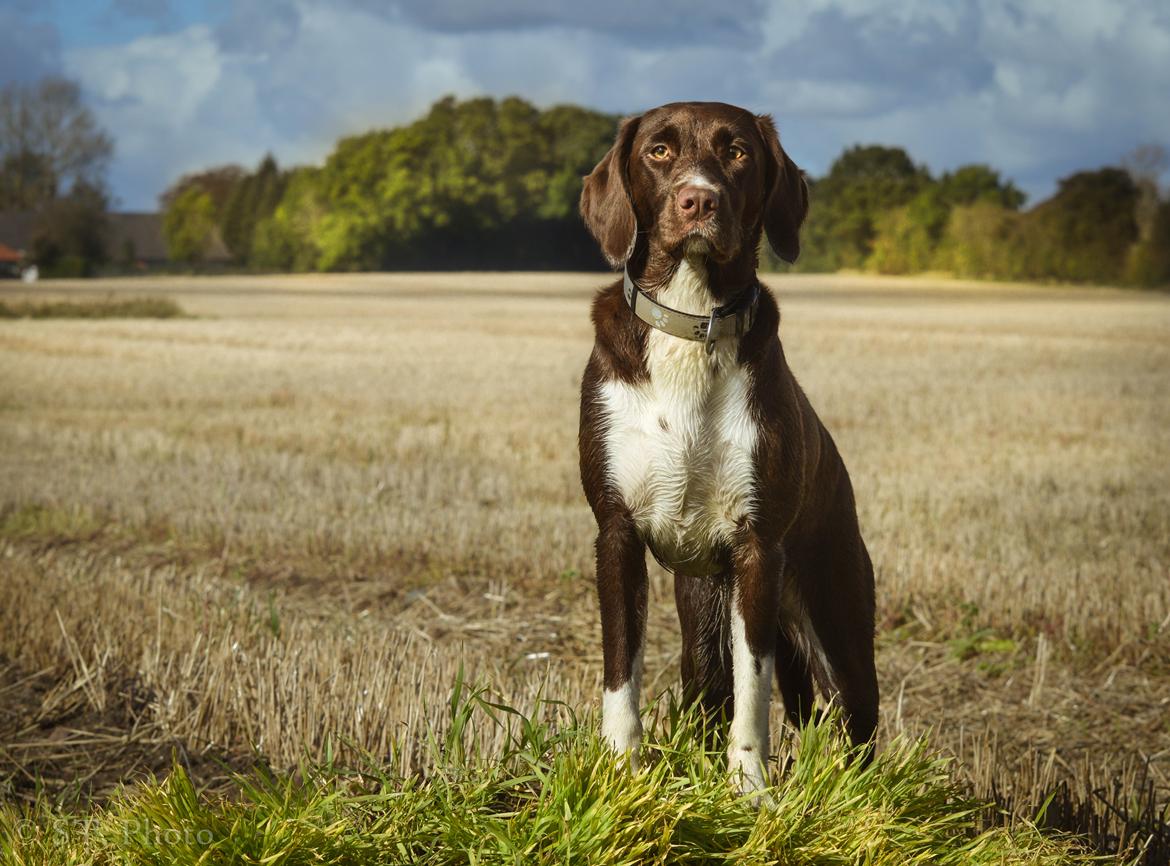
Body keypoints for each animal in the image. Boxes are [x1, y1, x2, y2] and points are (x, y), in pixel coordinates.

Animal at [575, 98, 879, 795]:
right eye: (659, 150)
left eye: (737, 151)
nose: (698, 200)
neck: (692, 321)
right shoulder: (617, 532)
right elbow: (621, 670)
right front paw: (623, 771)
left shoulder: (757, 549)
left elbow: (754, 690)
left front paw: (751, 790)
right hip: (701, 616)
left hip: (837, 620)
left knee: (855, 723)